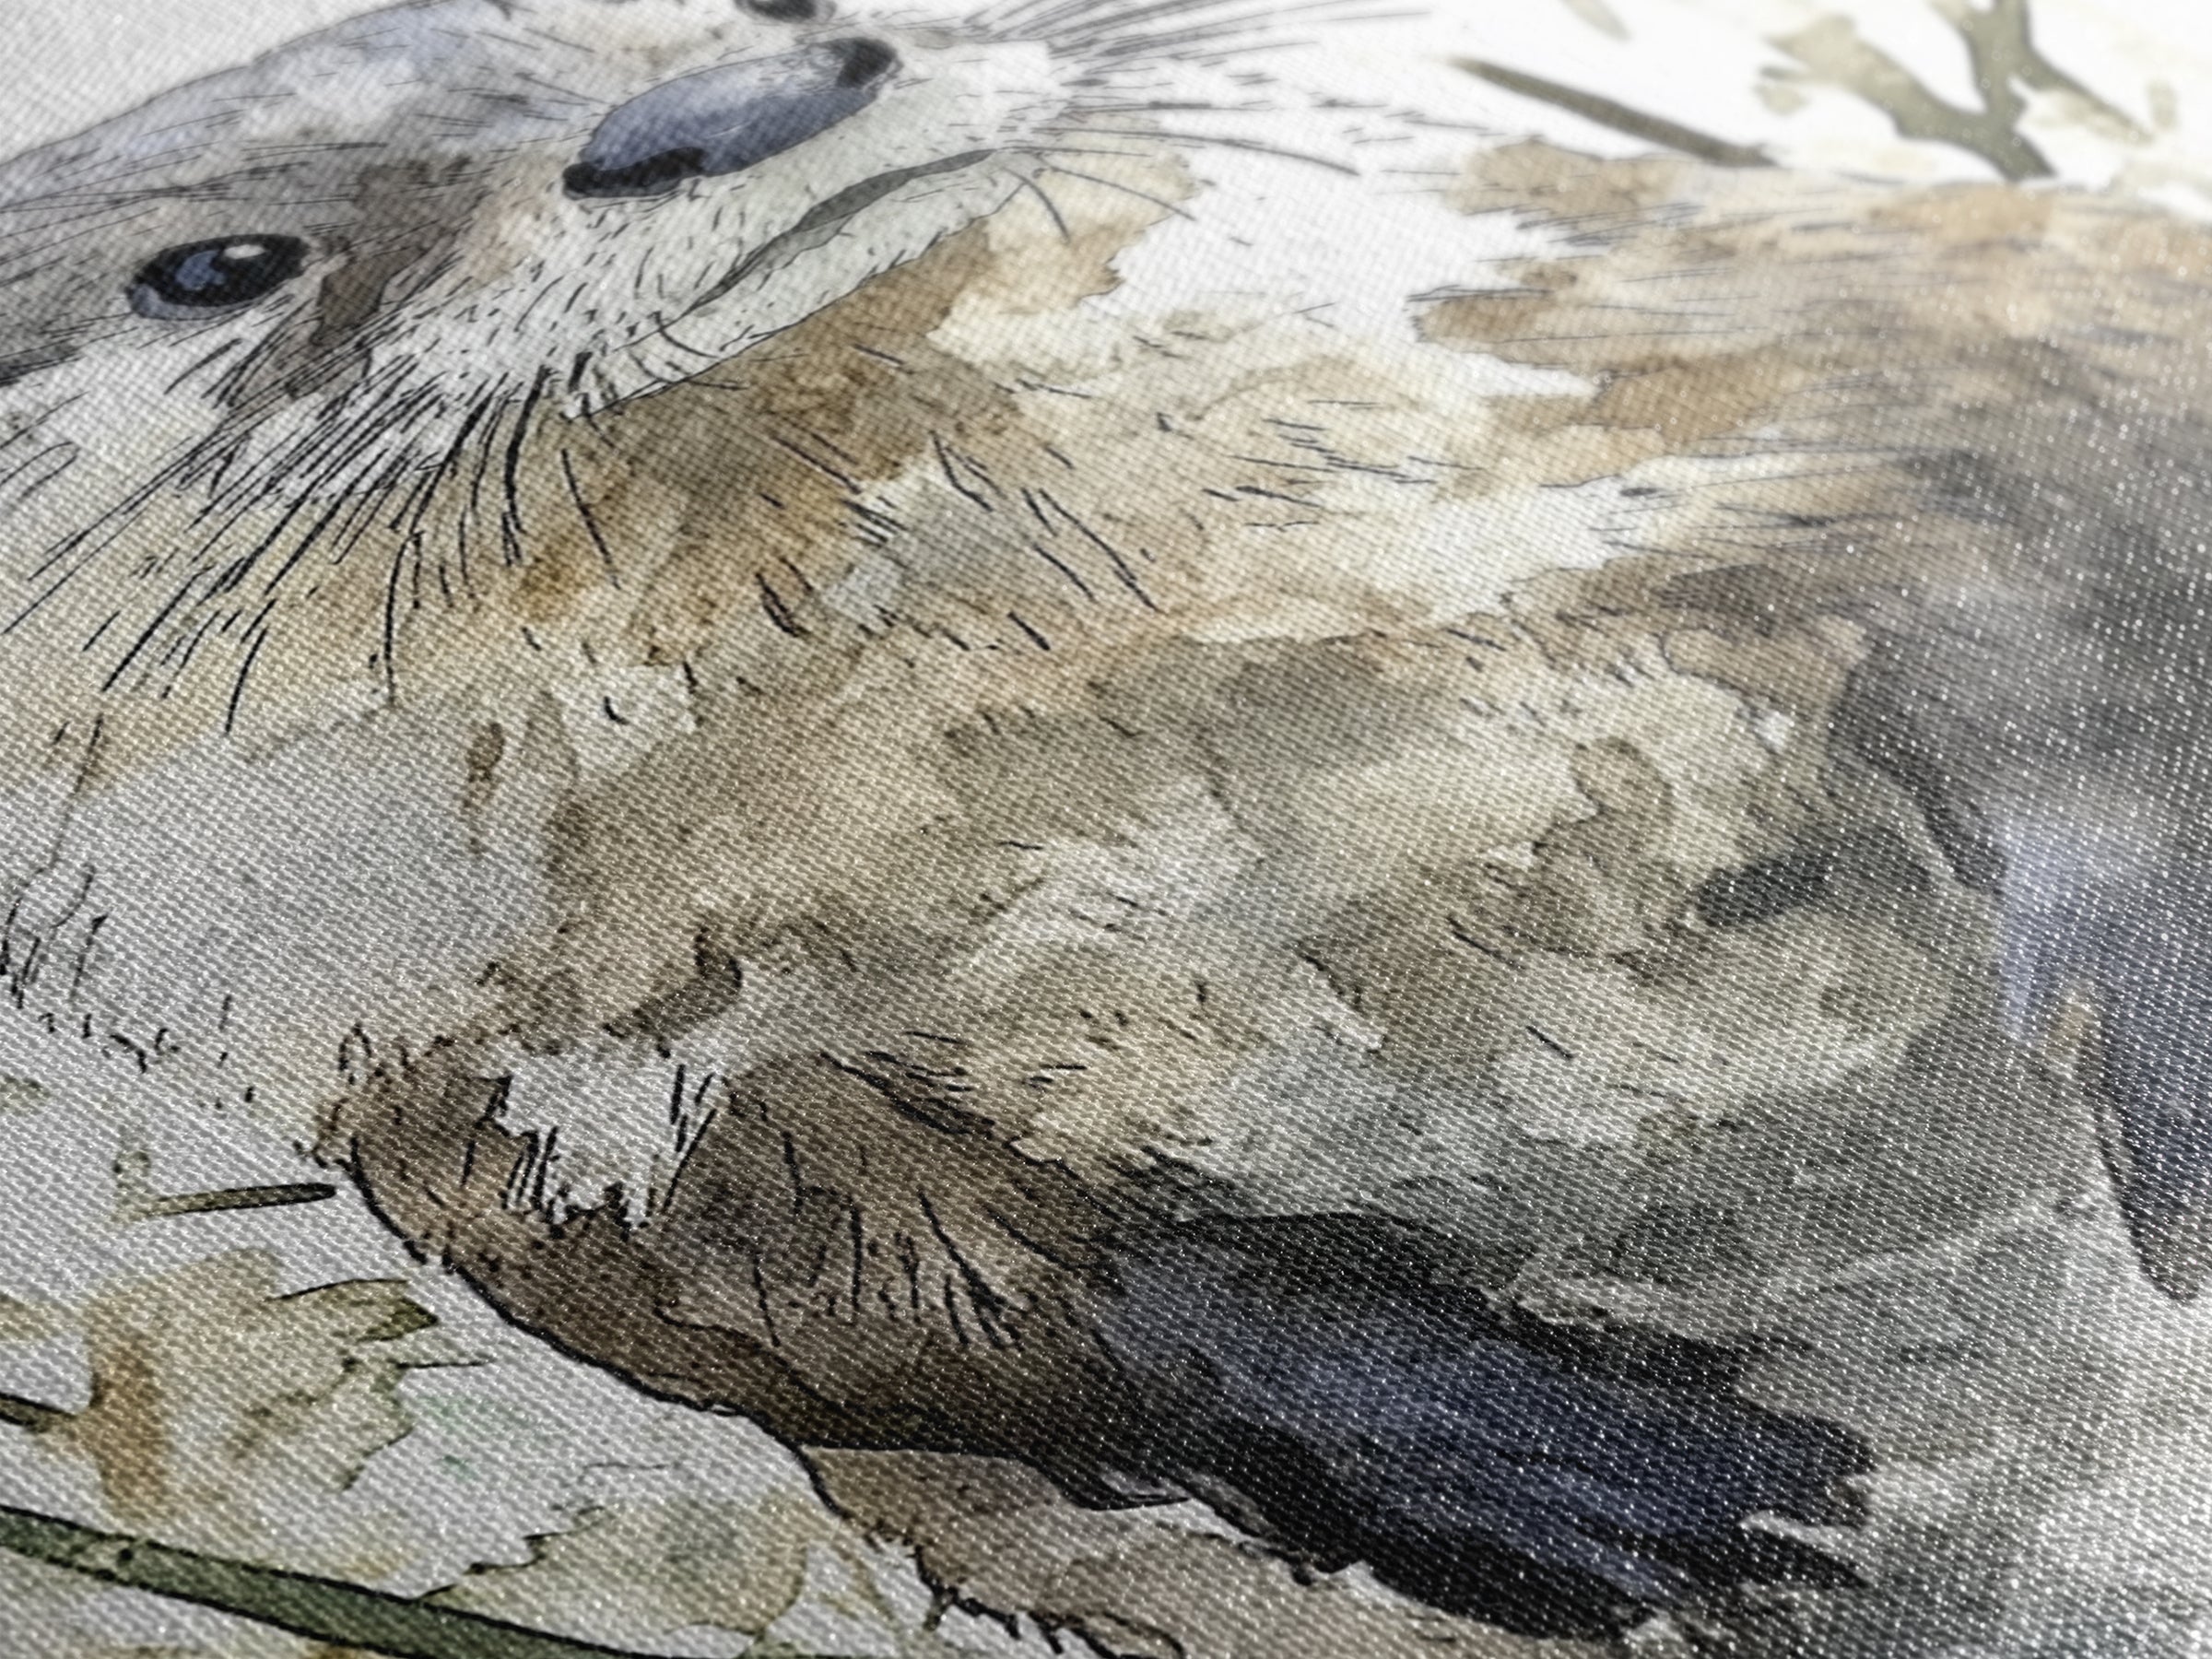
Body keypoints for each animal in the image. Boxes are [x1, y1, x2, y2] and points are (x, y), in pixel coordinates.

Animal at [2, 0, 2209, 1651]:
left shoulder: (1716, 355)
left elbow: (2062, 549)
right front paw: (1550, 1461)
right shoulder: (495, 1090)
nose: (727, 105)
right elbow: (823, 1294)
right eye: (220, 264)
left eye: (736, 0)